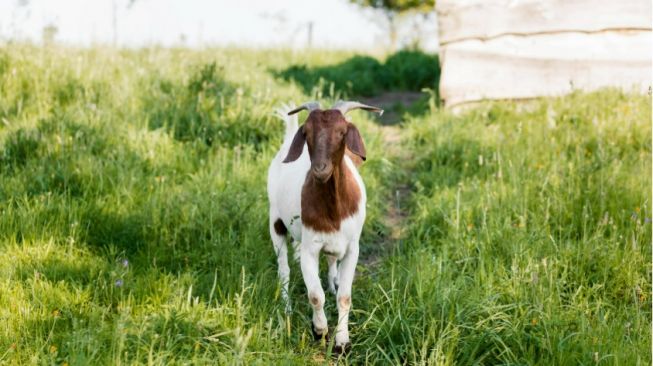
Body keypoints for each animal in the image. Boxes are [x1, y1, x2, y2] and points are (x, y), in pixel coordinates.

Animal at [268, 100, 382, 354]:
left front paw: (343, 341)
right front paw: (320, 330)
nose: (320, 169)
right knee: (284, 269)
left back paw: (332, 283)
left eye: (342, 132)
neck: (334, 208)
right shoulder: (310, 248)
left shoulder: (352, 247)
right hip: (275, 221)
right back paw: (287, 309)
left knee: (329, 260)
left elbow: (344, 297)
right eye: (307, 133)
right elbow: (314, 296)